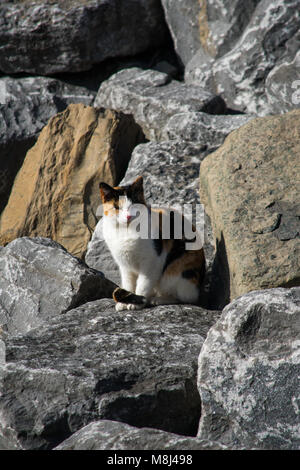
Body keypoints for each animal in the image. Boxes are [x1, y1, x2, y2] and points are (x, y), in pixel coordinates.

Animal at [99, 176, 205, 312]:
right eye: (117, 207)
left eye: (134, 205)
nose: (128, 216)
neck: (126, 231)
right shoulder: (125, 266)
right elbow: (128, 284)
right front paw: (124, 301)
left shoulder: (152, 262)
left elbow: (143, 284)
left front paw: (137, 302)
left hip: (176, 272)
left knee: (185, 298)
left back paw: (158, 300)